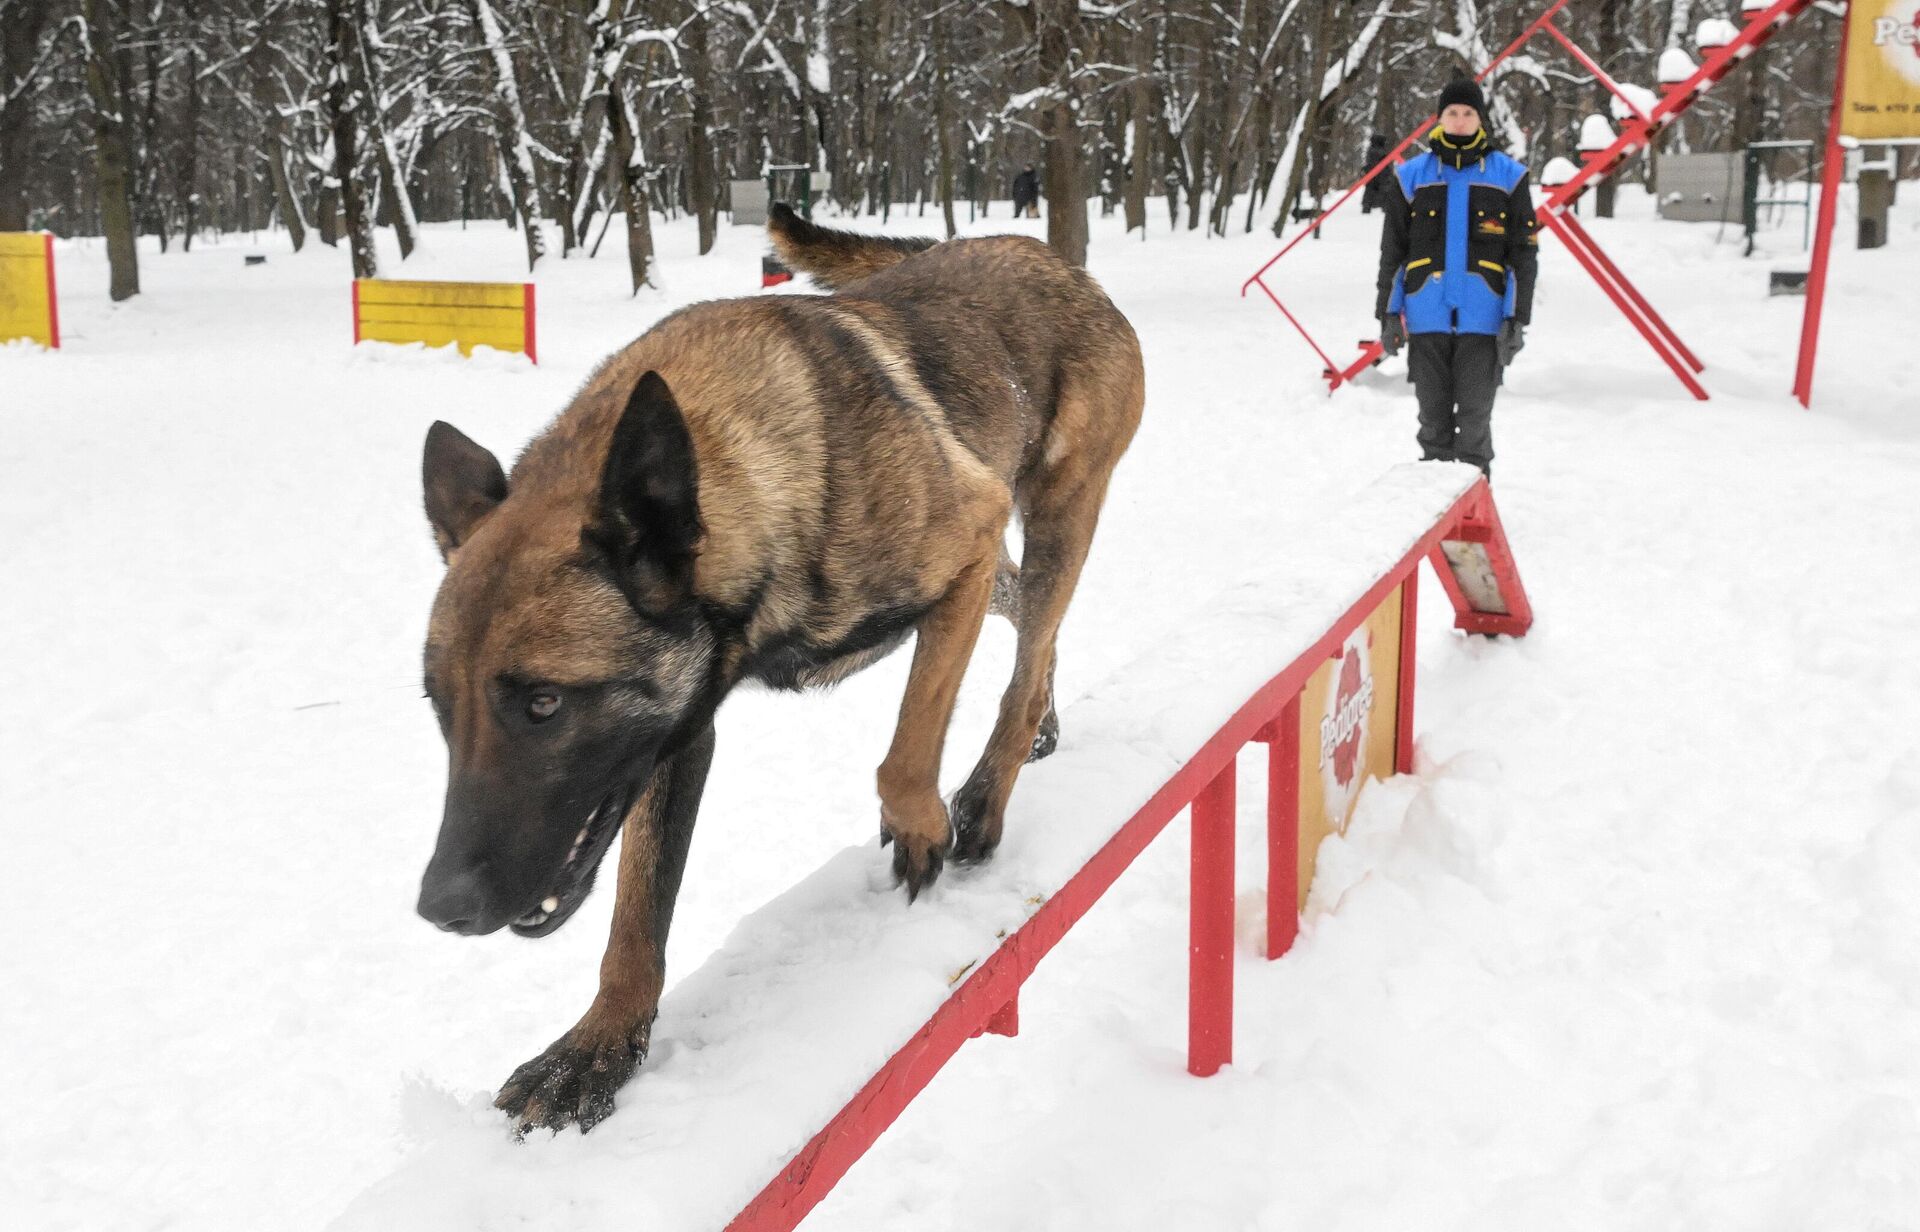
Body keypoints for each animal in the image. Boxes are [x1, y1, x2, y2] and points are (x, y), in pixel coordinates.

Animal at [412, 203, 1136, 1136]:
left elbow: (906, 747)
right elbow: (635, 918)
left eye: (543, 704)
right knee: (1027, 636)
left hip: (1059, 520)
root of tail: (1046, 254)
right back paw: (1040, 723)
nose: (440, 908)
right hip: (1017, 562)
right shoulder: (679, 736)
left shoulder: (966, 544)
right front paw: (598, 1049)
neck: (751, 471)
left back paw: (986, 792)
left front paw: (921, 826)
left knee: (1027, 651)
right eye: (440, 710)